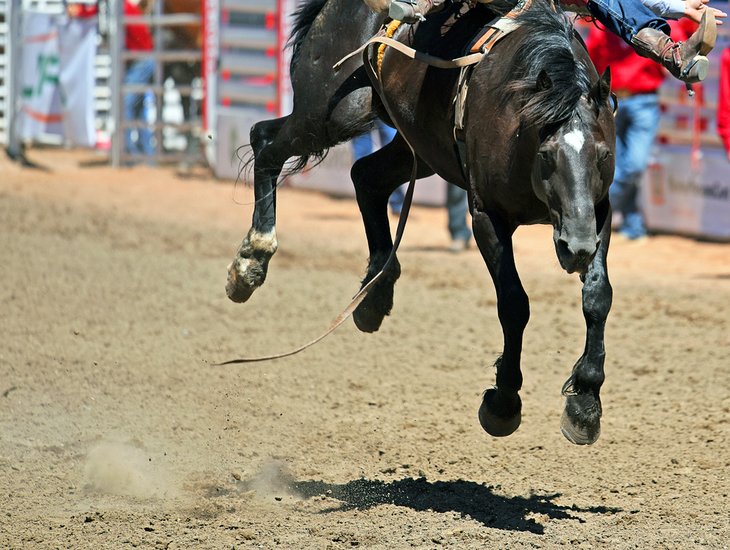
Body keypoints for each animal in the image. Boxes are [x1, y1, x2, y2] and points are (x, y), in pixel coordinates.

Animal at [228, 0, 616, 446]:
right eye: (548, 154)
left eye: (603, 154)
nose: (577, 248)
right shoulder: (486, 215)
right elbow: (514, 304)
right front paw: (502, 402)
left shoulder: (598, 212)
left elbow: (597, 297)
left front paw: (584, 402)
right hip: (330, 114)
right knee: (265, 140)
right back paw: (252, 259)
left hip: (418, 145)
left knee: (365, 176)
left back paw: (375, 293)